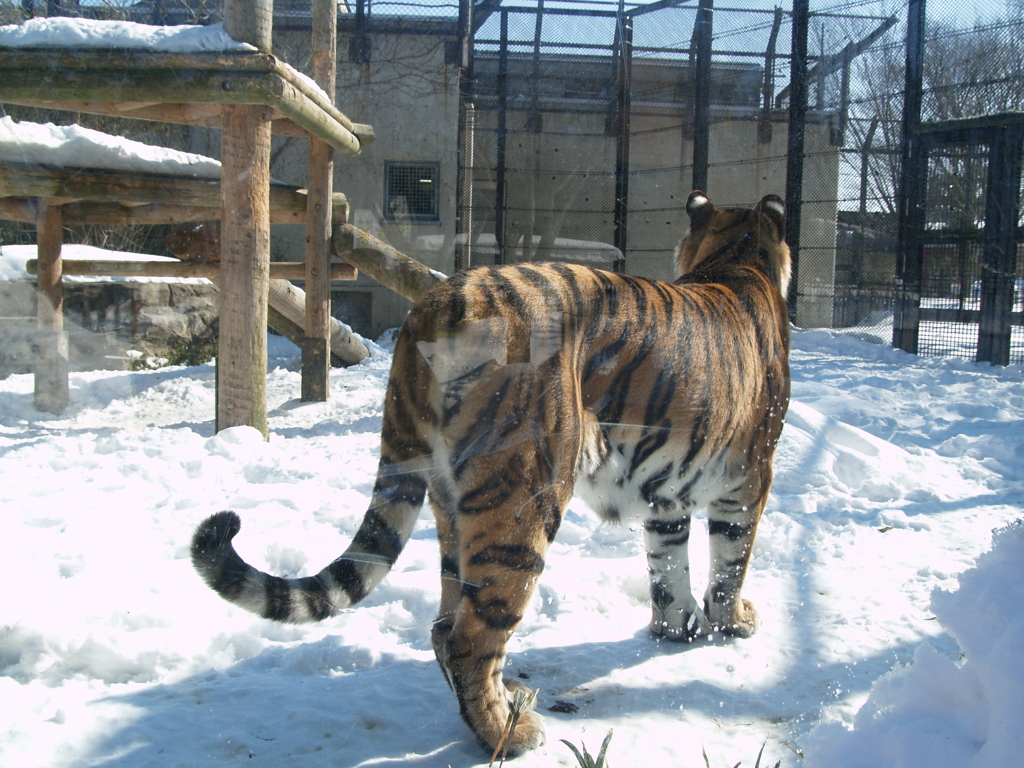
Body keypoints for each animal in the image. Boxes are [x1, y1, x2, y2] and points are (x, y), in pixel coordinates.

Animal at [192, 191, 790, 757]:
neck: (736, 257)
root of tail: (436, 303)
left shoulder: (667, 492)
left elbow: (668, 567)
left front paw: (674, 631)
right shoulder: (751, 477)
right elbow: (731, 559)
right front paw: (733, 622)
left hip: (454, 501)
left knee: (444, 624)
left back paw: (507, 705)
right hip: (525, 498)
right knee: (472, 638)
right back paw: (511, 732)